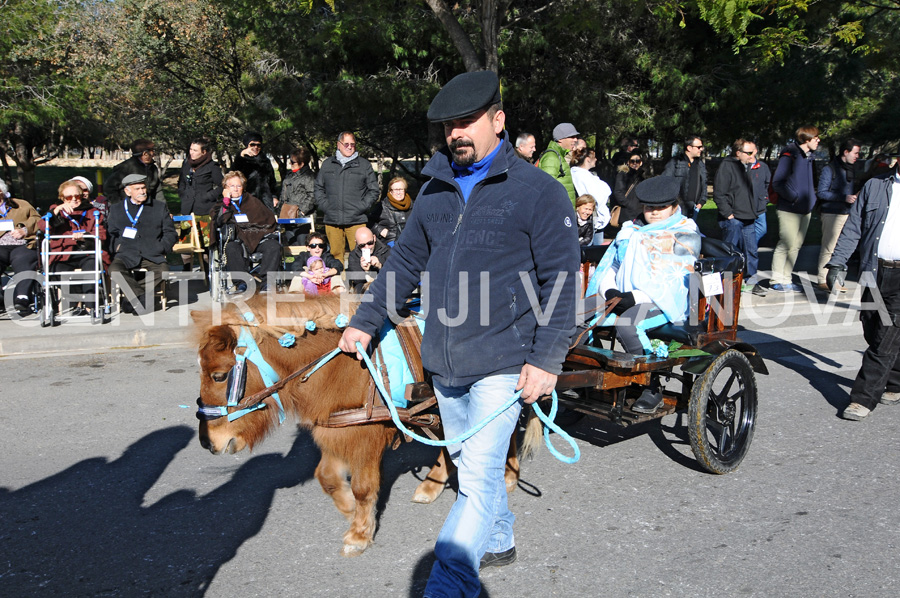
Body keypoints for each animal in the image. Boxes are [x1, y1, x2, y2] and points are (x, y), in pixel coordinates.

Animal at [192, 296, 520, 556]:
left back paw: (508, 474)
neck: (343, 367)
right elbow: (326, 477)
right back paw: (433, 484)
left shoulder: (364, 438)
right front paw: (350, 508)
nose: (208, 442)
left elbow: (364, 487)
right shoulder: (337, 431)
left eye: (219, 376)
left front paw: (360, 533)